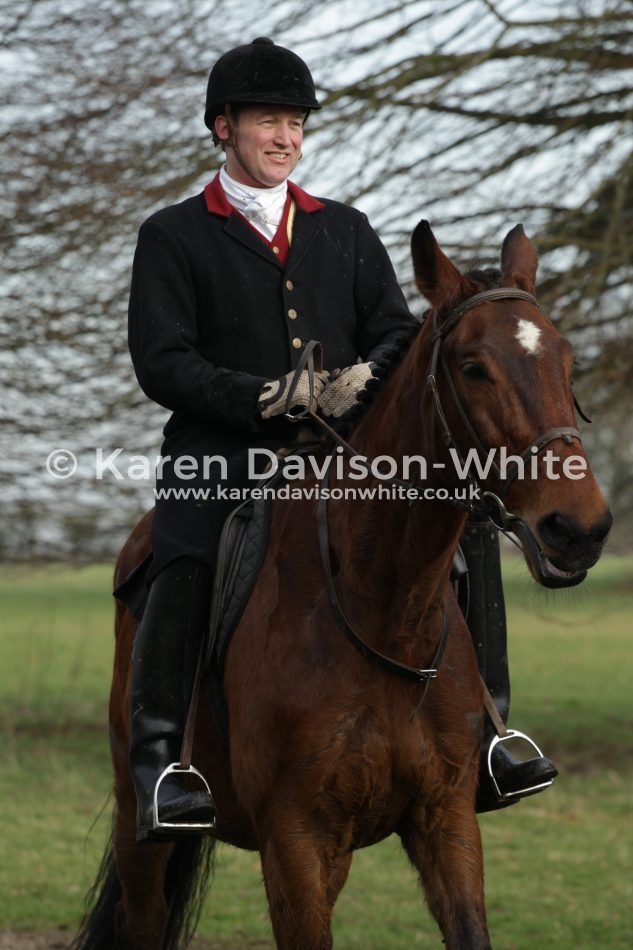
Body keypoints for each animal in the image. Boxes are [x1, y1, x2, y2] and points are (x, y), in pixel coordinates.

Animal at [72, 221, 612, 950]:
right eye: (473, 368)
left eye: (566, 362)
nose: (580, 529)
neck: (382, 607)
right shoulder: (296, 838)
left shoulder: (444, 820)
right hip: (143, 830)